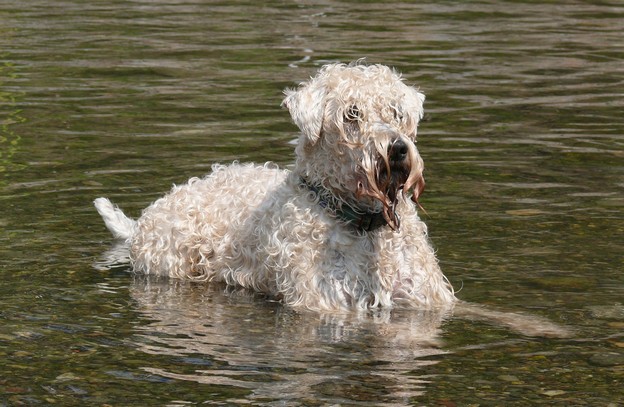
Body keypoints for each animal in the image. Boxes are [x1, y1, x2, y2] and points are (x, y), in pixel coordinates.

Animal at [94, 63, 454, 312]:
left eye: (396, 111)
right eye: (351, 113)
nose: (397, 149)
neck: (364, 224)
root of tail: (143, 221)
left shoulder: (424, 299)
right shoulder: (324, 301)